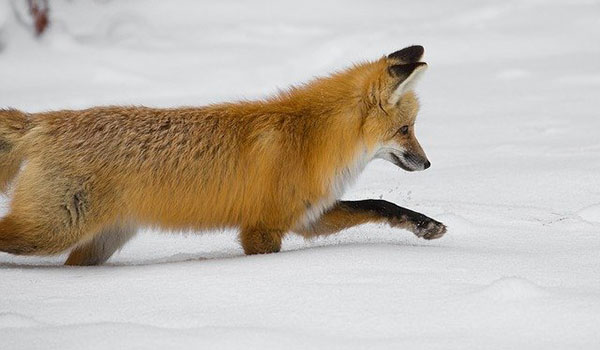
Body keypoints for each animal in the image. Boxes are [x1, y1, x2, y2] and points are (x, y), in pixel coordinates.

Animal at [0, 45, 446, 266]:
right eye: (406, 130)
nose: (428, 164)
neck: (312, 136)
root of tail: (44, 121)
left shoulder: (306, 217)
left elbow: (378, 204)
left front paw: (425, 226)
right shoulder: (261, 229)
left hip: (98, 242)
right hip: (51, 231)